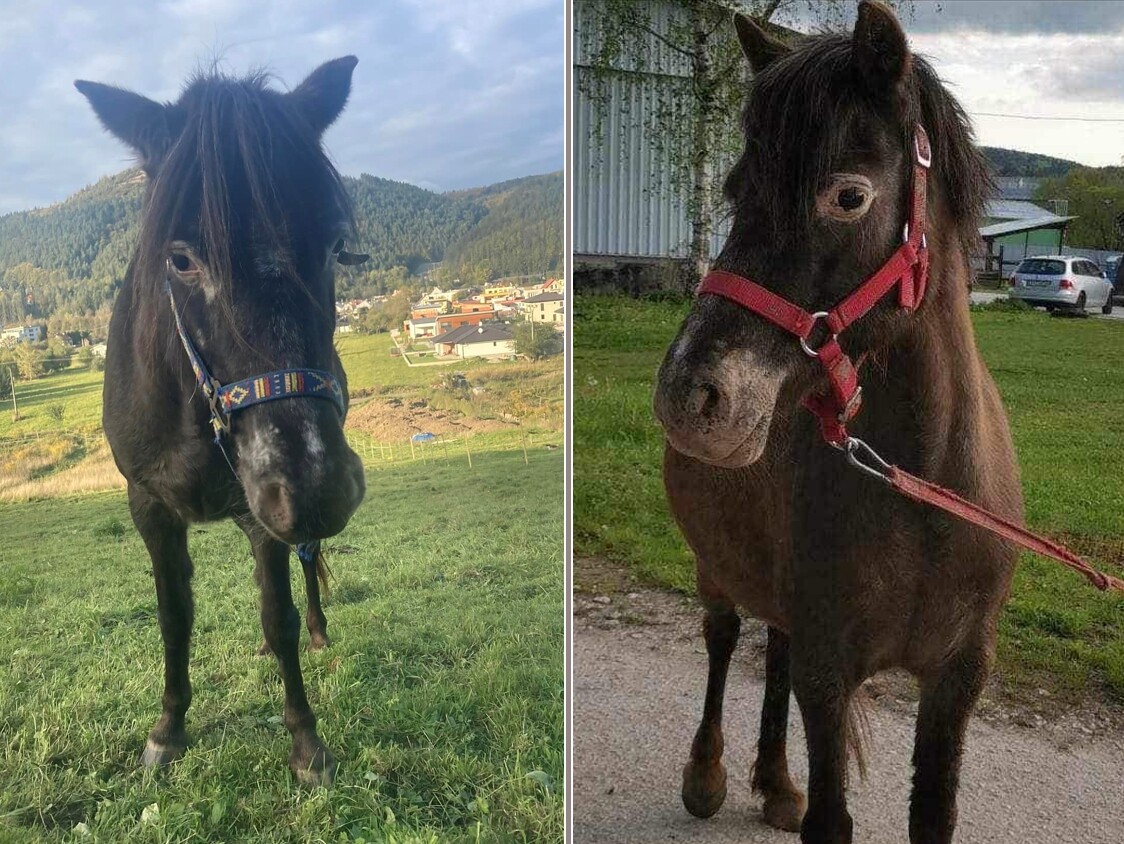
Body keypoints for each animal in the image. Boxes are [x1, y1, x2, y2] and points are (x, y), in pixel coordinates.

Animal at [76, 57, 369, 786]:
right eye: (181, 258)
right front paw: (167, 731)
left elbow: (278, 611)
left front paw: (306, 743)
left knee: (300, 571)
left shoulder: (263, 505)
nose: (317, 488)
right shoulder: (149, 505)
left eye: (334, 245)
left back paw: (316, 629)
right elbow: (174, 617)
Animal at [652, 3, 1022, 842]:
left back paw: (775, 780)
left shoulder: (958, 678)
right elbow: (829, 817)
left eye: (847, 197)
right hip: (716, 565)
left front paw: (784, 782)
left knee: (775, 648)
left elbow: (933, 817)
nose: (690, 394)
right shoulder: (830, 670)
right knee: (725, 638)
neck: (923, 489)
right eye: (735, 189)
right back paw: (708, 773)